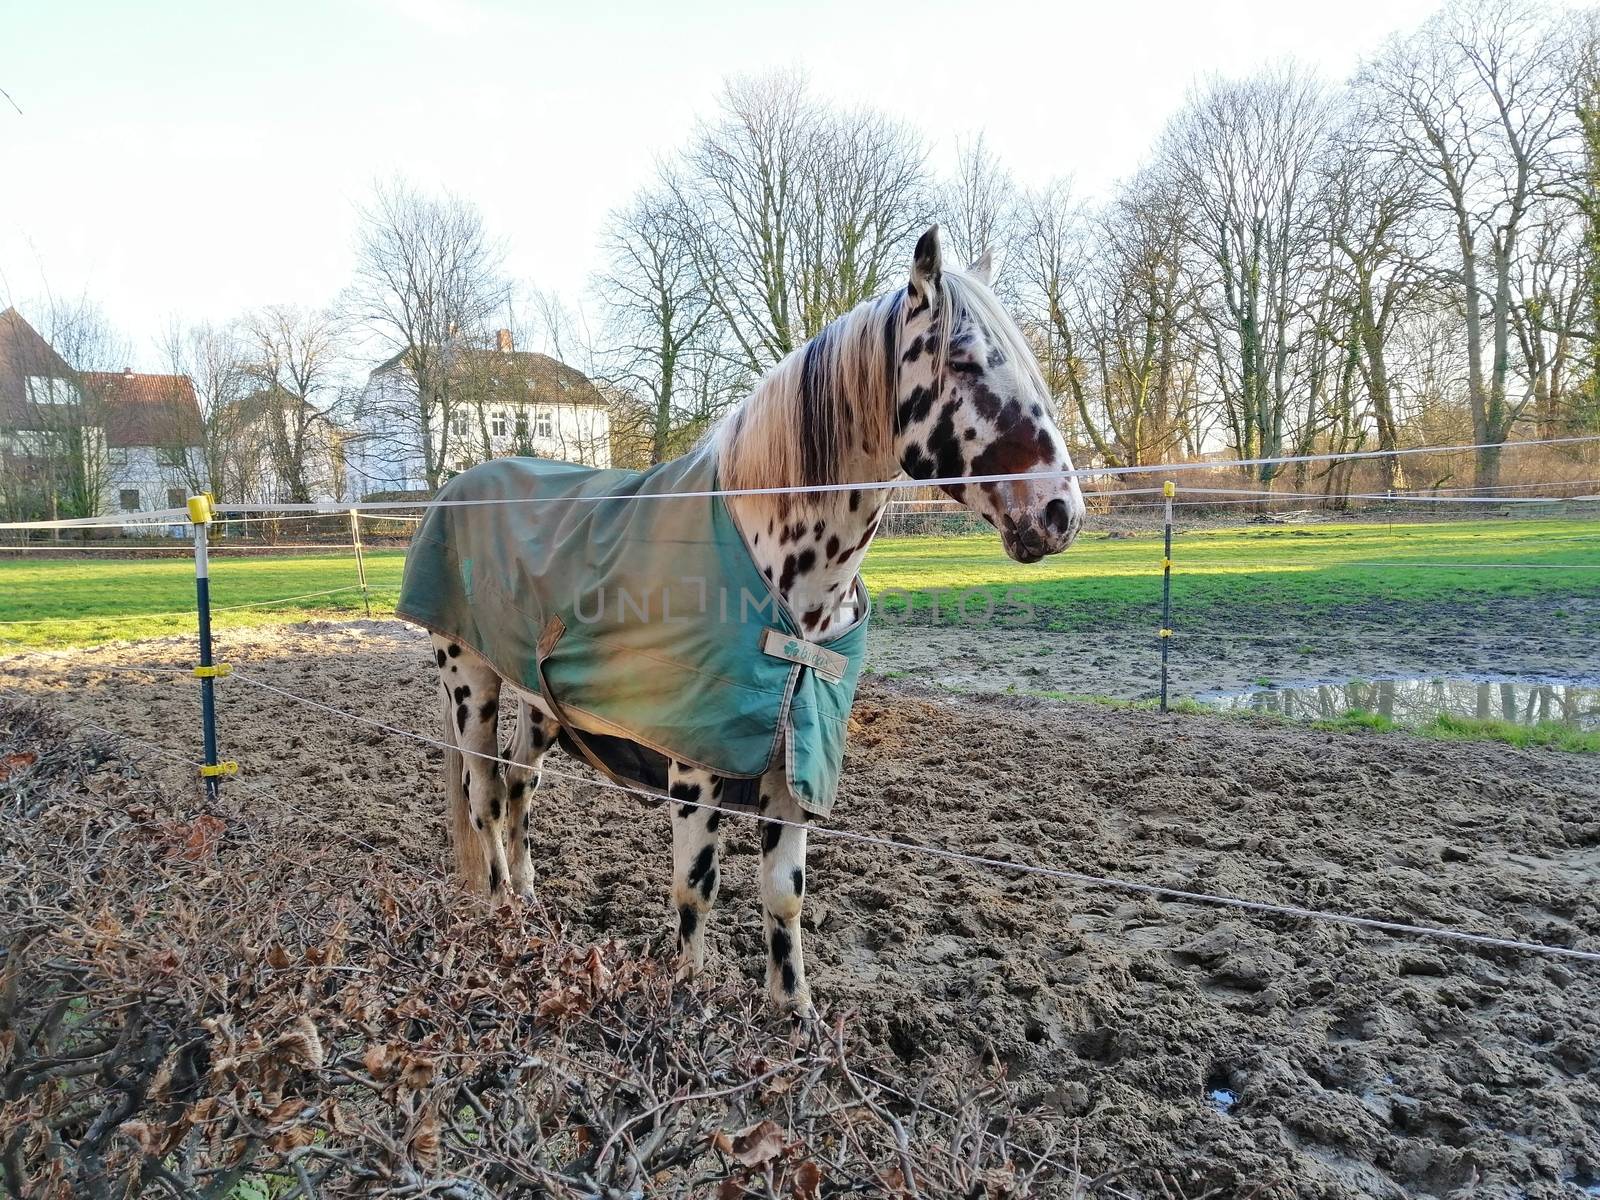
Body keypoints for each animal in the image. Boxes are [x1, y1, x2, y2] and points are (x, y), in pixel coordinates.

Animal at [403, 225, 1088, 1017]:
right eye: (965, 356)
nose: (1060, 513)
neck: (786, 575)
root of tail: (459, 485)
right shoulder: (698, 767)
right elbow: (694, 888)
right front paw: (691, 996)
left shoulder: (793, 766)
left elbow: (783, 896)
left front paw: (795, 1013)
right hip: (470, 684)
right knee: (485, 795)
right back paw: (497, 912)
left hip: (539, 704)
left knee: (518, 789)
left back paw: (528, 901)